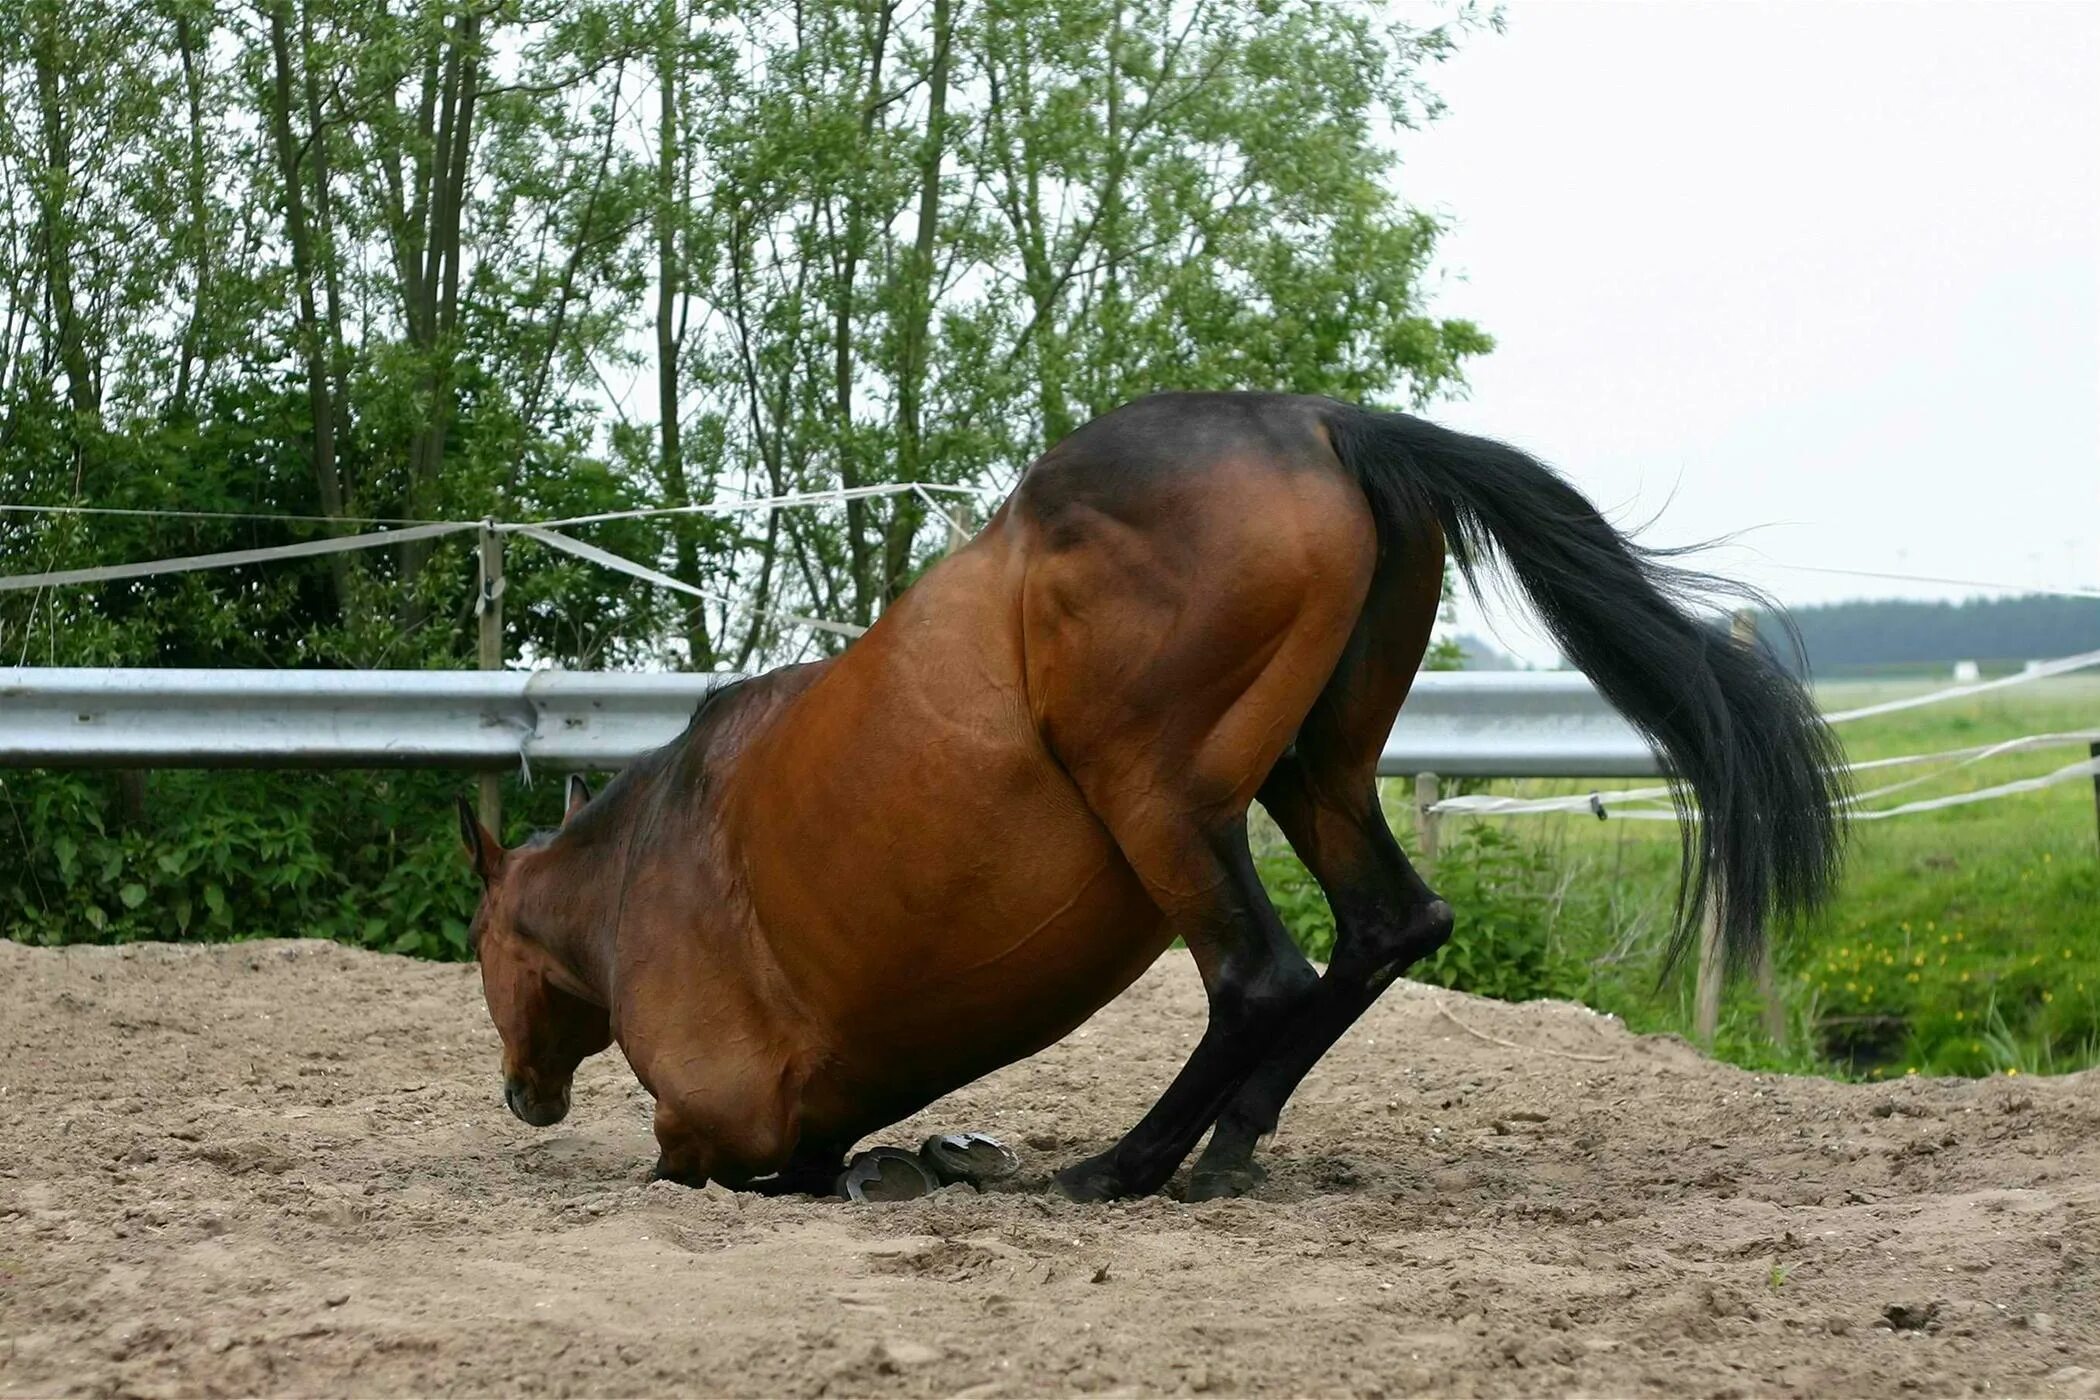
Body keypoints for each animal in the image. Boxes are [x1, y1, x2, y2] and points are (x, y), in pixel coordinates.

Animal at [455, 394, 1839, 1208]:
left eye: (485, 947)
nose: (525, 1092)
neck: (647, 859)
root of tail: (1325, 420)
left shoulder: (715, 1114)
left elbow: (721, 1158)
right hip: (1311, 772)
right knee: (1391, 924)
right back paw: (1227, 1144)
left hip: (1158, 798)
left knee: (1259, 975)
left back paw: (1120, 1166)